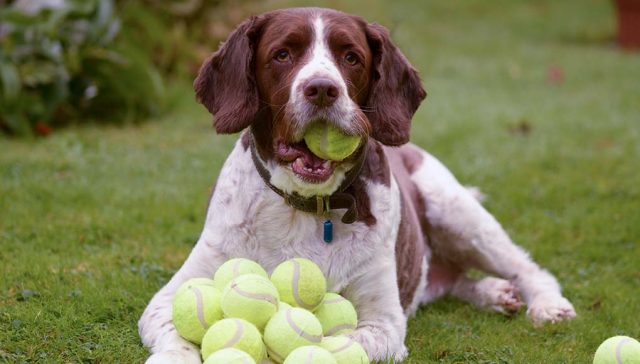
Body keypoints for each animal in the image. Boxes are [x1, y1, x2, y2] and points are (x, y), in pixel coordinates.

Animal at [138, 7, 576, 362]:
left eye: (351, 57)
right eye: (282, 54)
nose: (322, 89)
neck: (305, 207)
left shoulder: (383, 322)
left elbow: (335, 343)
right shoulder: (170, 296)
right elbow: (177, 333)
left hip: (458, 214)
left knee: (526, 267)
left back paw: (545, 304)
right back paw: (492, 293)